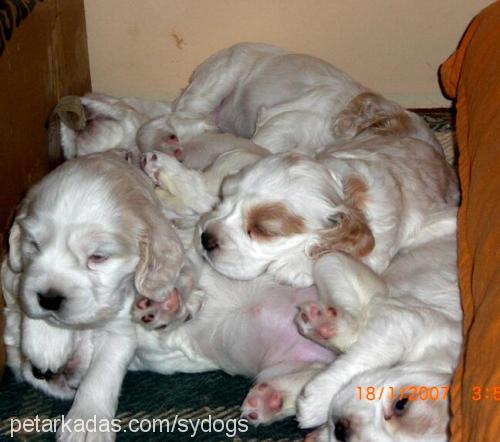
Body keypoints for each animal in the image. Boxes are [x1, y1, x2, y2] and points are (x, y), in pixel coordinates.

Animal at [0, 151, 185, 438]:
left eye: (98, 257)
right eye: (34, 245)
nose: (50, 299)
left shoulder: (120, 328)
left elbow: (101, 374)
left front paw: (86, 424)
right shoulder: (15, 271)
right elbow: (25, 287)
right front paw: (46, 341)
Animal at [294, 207, 462, 438]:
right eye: (401, 404)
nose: (341, 429)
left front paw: (326, 326)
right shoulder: (406, 320)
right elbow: (368, 351)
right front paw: (316, 402)